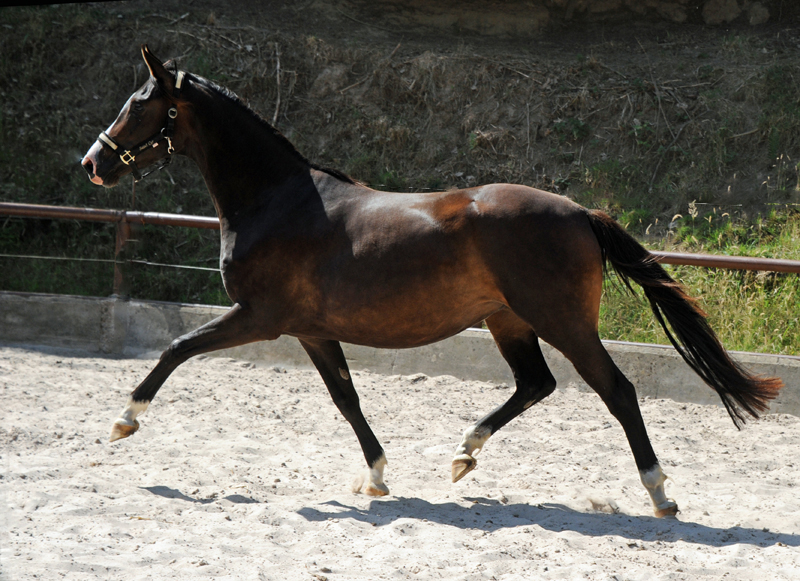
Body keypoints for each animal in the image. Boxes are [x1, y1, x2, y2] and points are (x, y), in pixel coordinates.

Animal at [81, 46, 780, 516]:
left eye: (138, 105)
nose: (92, 164)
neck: (277, 201)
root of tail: (580, 211)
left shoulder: (259, 317)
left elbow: (176, 348)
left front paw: (124, 420)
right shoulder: (310, 330)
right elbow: (347, 400)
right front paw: (377, 476)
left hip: (561, 321)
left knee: (617, 390)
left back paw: (659, 492)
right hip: (508, 320)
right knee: (536, 383)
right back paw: (463, 454)